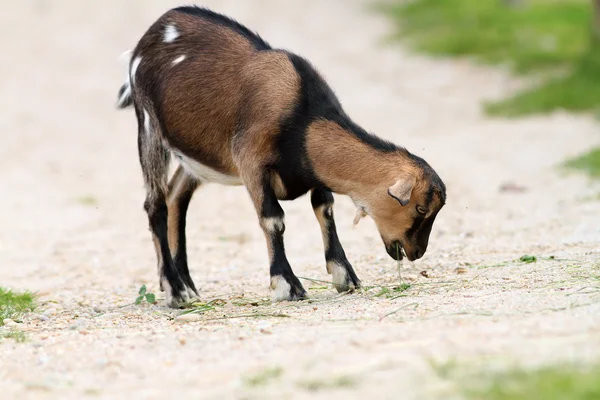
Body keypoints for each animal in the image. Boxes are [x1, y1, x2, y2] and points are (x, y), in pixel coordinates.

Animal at [117, 5, 446, 306]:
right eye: (420, 208)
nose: (415, 252)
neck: (303, 117)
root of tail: (153, 32)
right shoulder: (250, 161)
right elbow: (273, 218)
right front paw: (287, 285)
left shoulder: (314, 171)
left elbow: (324, 209)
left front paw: (345, 275)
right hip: (149, 126)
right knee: (155, 204)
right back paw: (174, 290)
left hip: (196, 155)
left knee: (176, 197)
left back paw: (186, 285)